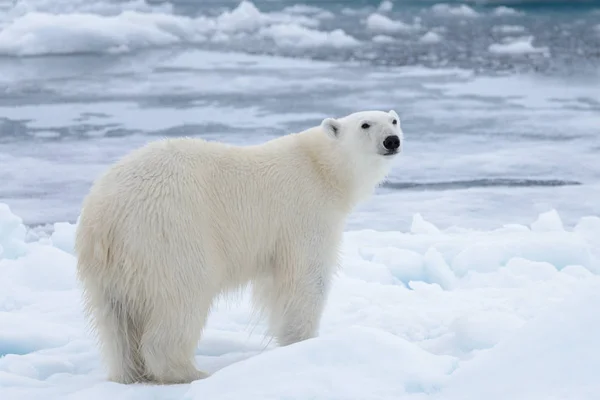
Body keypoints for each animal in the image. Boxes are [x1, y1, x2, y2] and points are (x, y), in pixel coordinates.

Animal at [74, 109, 404, 384]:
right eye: (365, 124)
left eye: (394, 120)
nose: (392, 141)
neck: (320, 167)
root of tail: (104, 216)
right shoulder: (304, 213)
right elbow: (306, 277)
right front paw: (304, 343)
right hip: (170, 236)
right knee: (182, 300)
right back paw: (188, 372)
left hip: (109, 269)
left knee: (115, 322)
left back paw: (130, 374)